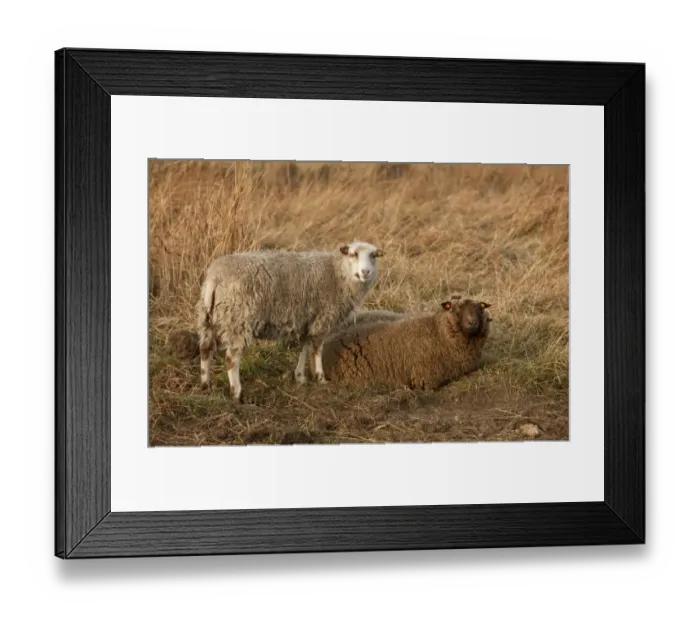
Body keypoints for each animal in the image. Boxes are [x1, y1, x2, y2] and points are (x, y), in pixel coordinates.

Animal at [197, 241, 386, 401]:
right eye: (353, 254)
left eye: (373, 256)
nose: (365, 272)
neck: (338, 272)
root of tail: (215, 277)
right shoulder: (322, 318)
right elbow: (317, 349)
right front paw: (320, 377)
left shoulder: (306, 321)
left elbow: (304, 347)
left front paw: (300, 376)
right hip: (239, 319)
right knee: (231, 358)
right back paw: (237, 393)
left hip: (209, 317)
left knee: (205, 348)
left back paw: (206, 385)